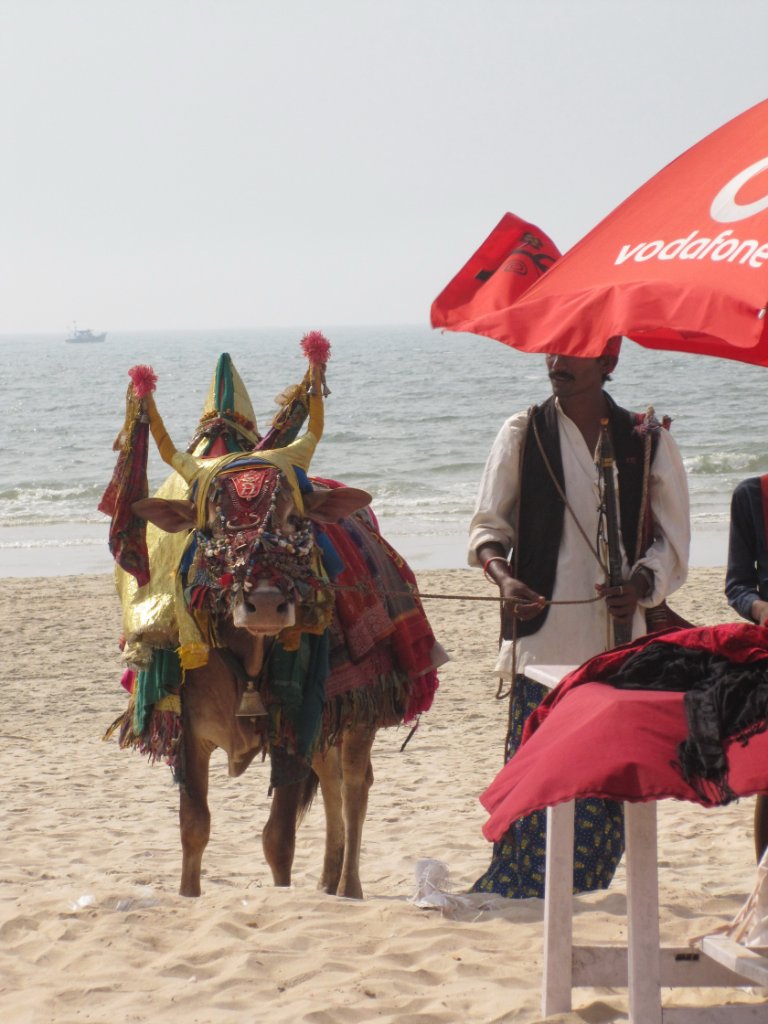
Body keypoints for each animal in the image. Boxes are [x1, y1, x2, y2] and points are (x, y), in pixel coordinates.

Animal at [102, 335, 450, 897]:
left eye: (293, 518)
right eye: (215, 522)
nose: (265, 603)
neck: (244, 660)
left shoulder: (293, 725)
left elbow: (278, 839)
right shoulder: (190, 737)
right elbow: (194, 828)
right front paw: (188, 894)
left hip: (357, 711)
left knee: (355, 785)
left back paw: (348, 887)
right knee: (330, 781)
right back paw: (328, 880)